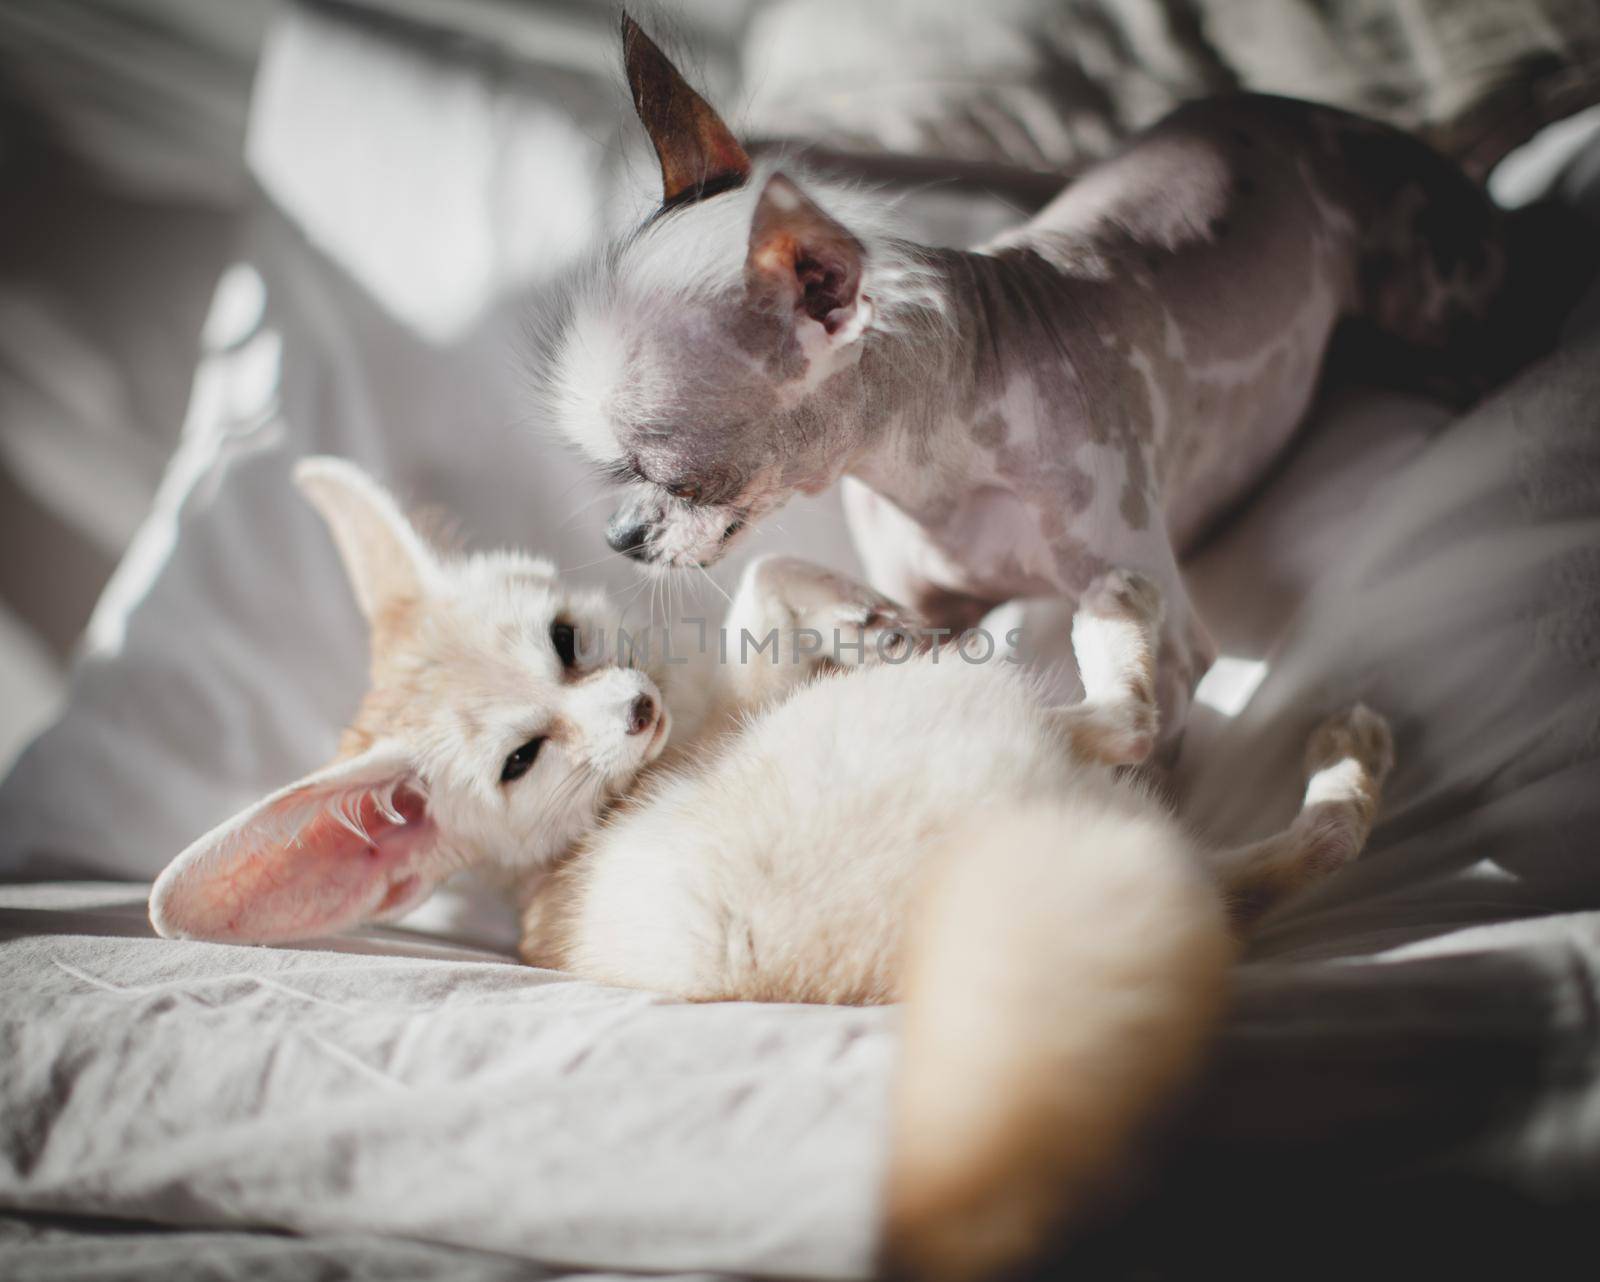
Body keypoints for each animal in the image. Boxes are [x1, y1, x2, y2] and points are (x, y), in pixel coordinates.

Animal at [156, 460, 1395, 1280]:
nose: (634, 708)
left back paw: (1341, 761)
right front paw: (865, 613)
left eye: (565, 641)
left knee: (1294, 850)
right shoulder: (763, 701)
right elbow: (761, 583)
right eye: (519, 760)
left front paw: (865, 608)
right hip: (982, 726)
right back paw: (1130, 631)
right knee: (1134, 726)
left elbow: (768, 568)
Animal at [544, 12, 1504, 739]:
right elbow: (814, 596)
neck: (933, 470)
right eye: (614, 476)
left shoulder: (1165, 641)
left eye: (679, 478)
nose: (618, 537)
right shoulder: (930, 603)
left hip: (1433, 301)